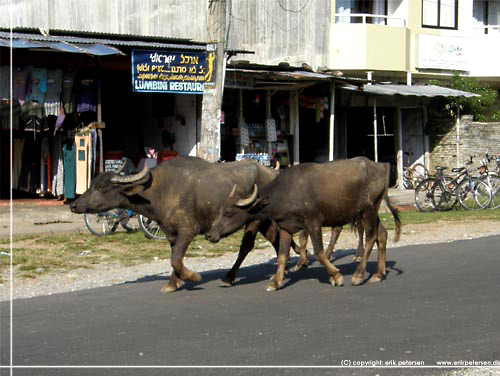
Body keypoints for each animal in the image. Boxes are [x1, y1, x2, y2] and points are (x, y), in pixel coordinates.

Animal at [70, 157, 284, 292]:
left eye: (102, 186)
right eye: (92, 184)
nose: (74, 205)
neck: (160, 191)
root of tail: (273, 172)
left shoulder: (188, 230)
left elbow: (176, 259)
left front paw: (193, 277)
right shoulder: (171, 234)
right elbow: (175, 257)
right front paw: (172, 284)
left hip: (254, 220)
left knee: (246, 246)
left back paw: (229, 278)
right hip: (265, 221)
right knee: (275, 239)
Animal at [206, 157, 402, 292]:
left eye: (229, 212)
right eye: (220, 210)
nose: (209, 234)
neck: (285, 193)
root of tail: (379, 166)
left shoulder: (313, 222)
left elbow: (319, 253)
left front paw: (336, 276)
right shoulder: (286, 227)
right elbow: (282, 256)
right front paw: (275, 282)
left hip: (367, 211)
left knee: (371, 237)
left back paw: (358, 275)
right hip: (371, 212)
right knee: (382, 235)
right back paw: (378, 274)